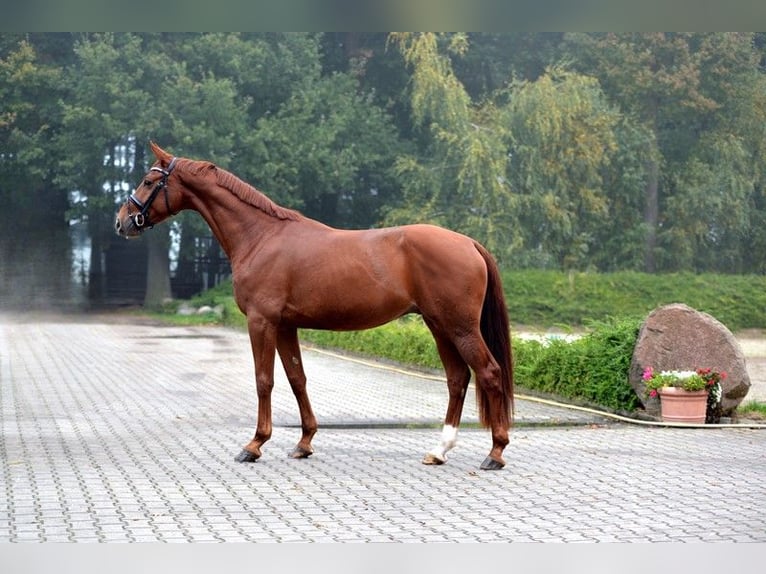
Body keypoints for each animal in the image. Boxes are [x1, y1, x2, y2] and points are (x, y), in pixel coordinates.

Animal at [115, 144, 516, 472]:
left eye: (149, 181)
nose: (122, 222)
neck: (261, 236)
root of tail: (469, 243)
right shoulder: (285, 326)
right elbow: (297, 379)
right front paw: (304, 442)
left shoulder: (262, 322)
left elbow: (264, 380)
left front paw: (254, 445)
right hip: (438, 325)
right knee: (457, 378)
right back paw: (439, 450)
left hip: (459, 326)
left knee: (489, 373)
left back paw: (495, 453)